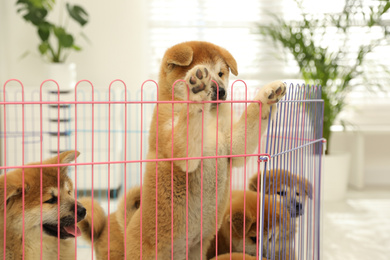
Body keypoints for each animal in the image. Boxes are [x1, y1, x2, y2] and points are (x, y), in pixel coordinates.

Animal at [125, 41, 286, 260]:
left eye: (221, 73)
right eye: (207, 73)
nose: (222, 92)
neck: (209, 118)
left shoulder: (232, 145)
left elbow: (252, 115)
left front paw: (268, 95)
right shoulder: (178, 145)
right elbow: (188, 123)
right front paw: (196, 91)